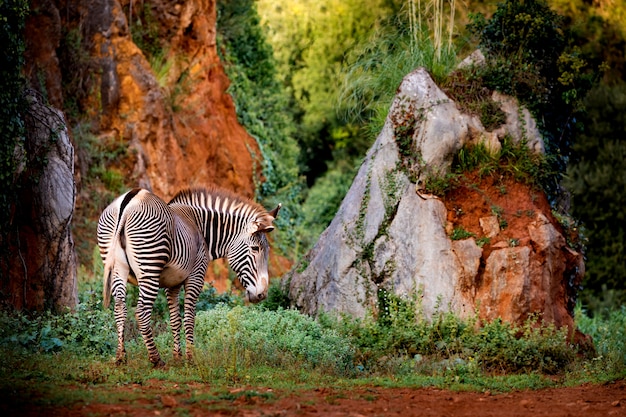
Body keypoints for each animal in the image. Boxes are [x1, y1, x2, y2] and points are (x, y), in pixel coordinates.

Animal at [97, 187, 278, 366]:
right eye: (255, 249)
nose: (262, 294)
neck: (201, 228)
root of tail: (129, 200)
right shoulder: (196, 276)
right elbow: (190, 317)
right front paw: (191, 358)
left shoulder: (172, 283)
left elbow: (175, 319)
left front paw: (177, 357)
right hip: (149, 266)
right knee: (141, 312)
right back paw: (156, 359)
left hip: (117, 268)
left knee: (120, 308)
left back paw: (121, 357)